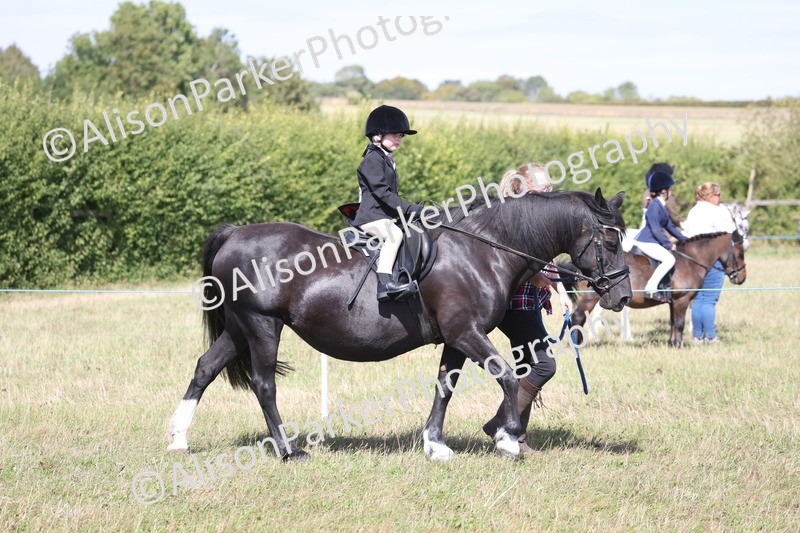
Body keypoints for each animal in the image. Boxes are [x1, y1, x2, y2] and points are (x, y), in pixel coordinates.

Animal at [166, 189, 632, 461]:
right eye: (610, 240)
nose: (623, 296)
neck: (482, 252)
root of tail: (234, 234)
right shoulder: (467, 333)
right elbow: (507, 378)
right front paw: (506, 438)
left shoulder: (457, 339)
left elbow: (445, 387)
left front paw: (436, 444)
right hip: (262, 326)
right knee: (264, 385)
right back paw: (288, 451)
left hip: (239, 328)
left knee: (205, 368)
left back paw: (178, 439)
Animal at [567, 231, 747, 347]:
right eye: (740, 254)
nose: (742, 278)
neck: (690, 261)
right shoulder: (682, 300)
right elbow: (680, 323)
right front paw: (678, 345)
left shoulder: (673, 302)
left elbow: (673, 322)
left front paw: (671, 343)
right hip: (590, 297)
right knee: (578, 316)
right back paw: (576, 344)